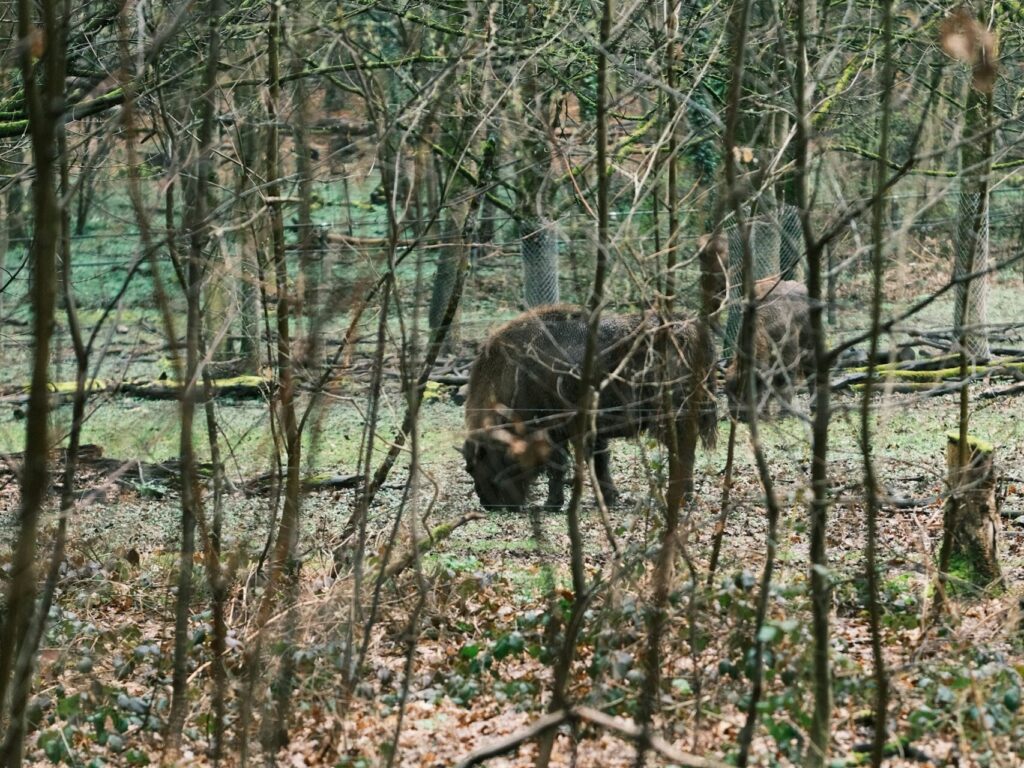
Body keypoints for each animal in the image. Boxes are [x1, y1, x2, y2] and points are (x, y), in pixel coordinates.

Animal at [460, 305, 716, 512]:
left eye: (474, 465)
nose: (489, 504)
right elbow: (599, 461)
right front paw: (609, 498)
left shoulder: (554, 430)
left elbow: (559, 465)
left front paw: (552, 504)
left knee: (682, 452)